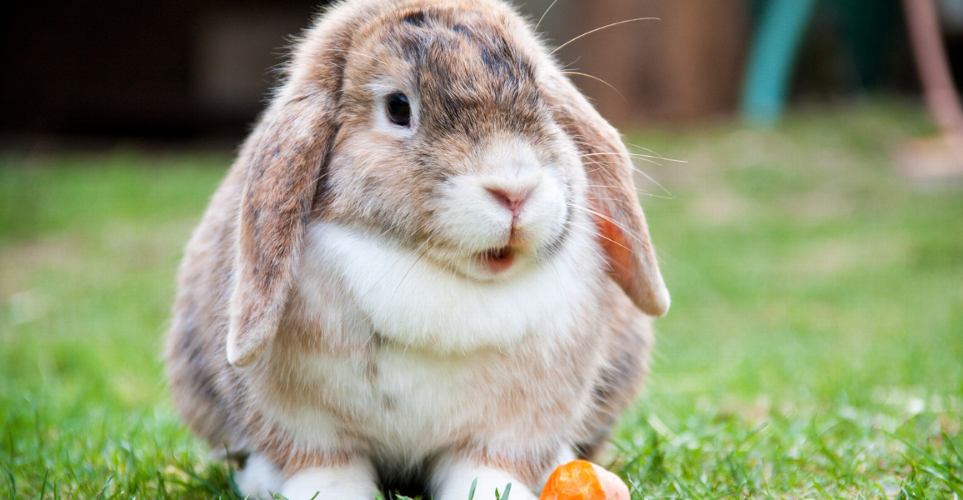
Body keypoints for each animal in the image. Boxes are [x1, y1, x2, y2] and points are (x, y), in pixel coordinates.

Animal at [166, 0, 672, 498]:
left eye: (541, 99)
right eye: (397, 107)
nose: (514, 191)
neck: (439, 276)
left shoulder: (514, 426)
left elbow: (489, 466)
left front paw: (492, 490)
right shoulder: (305, 425)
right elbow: (324, 467)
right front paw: (329, 493)